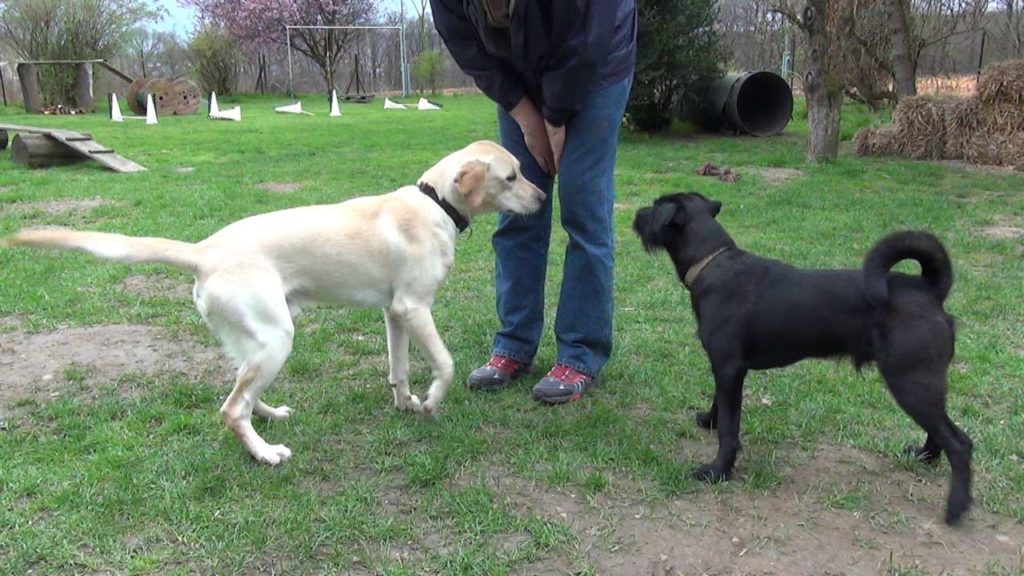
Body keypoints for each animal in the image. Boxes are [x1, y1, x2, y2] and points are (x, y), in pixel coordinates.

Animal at [4, 141, 548, 463]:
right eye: (512, 177)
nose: (545, 199)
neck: (435, 204)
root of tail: (204, 250)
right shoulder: (415, 308)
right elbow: (446, 364)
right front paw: (433, 402)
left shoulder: (394, 312)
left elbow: (399, 369)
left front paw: (406, 404)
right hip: (277, 337)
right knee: (230, 409)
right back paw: (266, 454)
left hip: (260, 339)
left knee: (241, 393)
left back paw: (268, 416)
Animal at [630, 190, 974, 522]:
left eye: (655, 206)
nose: (636, 214)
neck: (712, 262)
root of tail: (929, 289)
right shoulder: (725, 369)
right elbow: (720, 405)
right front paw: (708, 420)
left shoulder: (729, 368)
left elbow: (730, 427)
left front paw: (718, 470)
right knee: (942, 431)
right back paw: (924, 457)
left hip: (910, 382)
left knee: (959, 442)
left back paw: (955, 507)